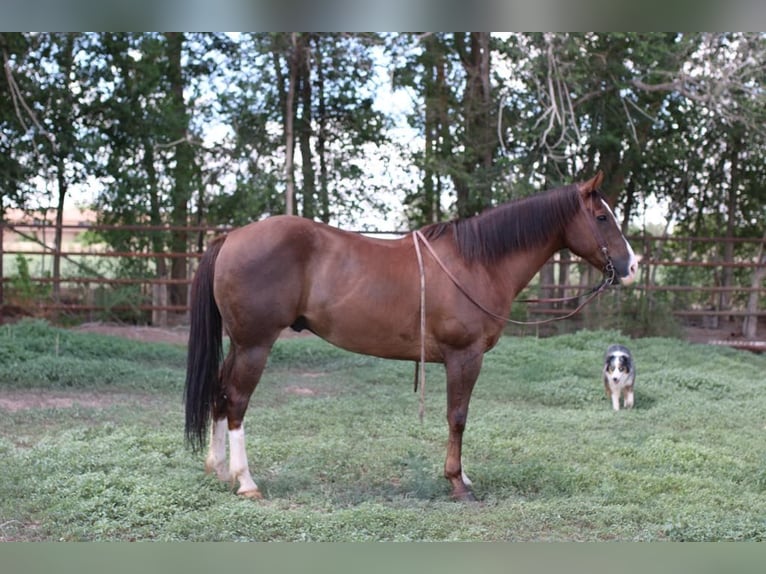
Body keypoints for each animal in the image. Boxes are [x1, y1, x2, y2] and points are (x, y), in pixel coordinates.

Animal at [184, 171, 638, 501]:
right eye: (602, 217)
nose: (631, 266)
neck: (479, 262)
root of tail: (231, 237)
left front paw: (462, 477)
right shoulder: (464, 357)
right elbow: (458, 417)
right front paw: (456, 482)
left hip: (240, 345)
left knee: (220, 394)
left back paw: (218, 470)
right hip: (255, 345)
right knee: (236, 401)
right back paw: (245, 481)